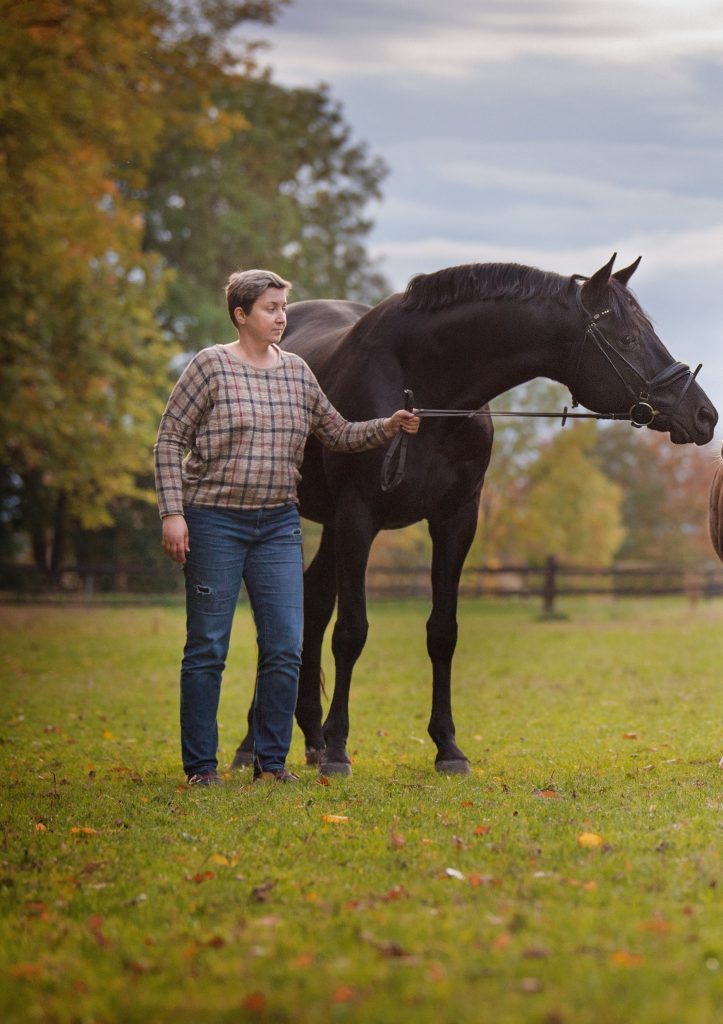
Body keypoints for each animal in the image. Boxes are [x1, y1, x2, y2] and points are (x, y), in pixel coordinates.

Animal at [231, 254, 717, 776]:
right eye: (627, 339)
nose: (704, 415)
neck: (426, 388)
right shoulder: (358, 516)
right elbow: (351, 632)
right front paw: (340, 748)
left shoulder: (456, 520)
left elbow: (442, 633)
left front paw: (447, 747)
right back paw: (255, 745)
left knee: (313, 602)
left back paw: (311, 735)